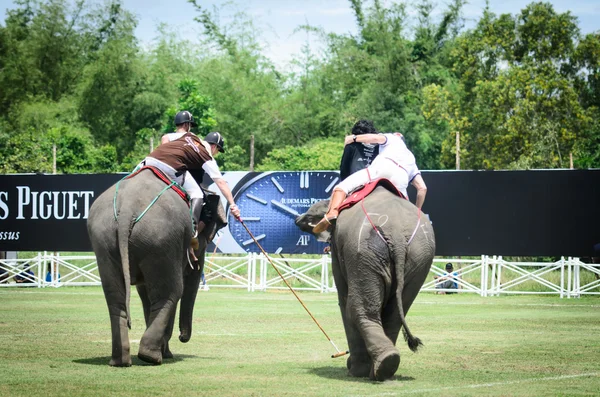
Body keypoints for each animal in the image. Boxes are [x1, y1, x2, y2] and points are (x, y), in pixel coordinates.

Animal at [85, 166, 224, 366]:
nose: (183, 337)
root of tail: (127, 209)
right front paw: (167, 353)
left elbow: (144, 293)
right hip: (161, 240)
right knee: (171, 292)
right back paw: (151, 357)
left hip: (105, 239)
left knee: (115, 295)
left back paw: (121, 360)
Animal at [296, 183, 436, 380]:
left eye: (310, 216)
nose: (297, 219)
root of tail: (397, 234)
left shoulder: (340, 247)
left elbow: (343, 298)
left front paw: (353, 369)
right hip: (419, 256)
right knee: (394, 313)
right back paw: (385, 366)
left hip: (362, 250)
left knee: (355, 308)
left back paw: (366, 370)